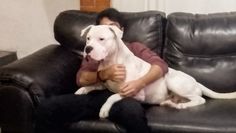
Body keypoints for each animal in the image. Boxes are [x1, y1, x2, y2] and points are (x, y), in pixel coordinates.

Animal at [74, 24, 236, 118]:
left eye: (101, 39)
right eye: (88, 38)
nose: (88, 49)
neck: (111, 61)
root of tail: (196, 82)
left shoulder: (134, 92)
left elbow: (112, 96)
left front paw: (104, 109)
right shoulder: (104, 82)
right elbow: (94, 85)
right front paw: (81, 90)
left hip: (173, 82)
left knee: (200, 99)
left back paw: (183, 105)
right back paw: (171, 104)